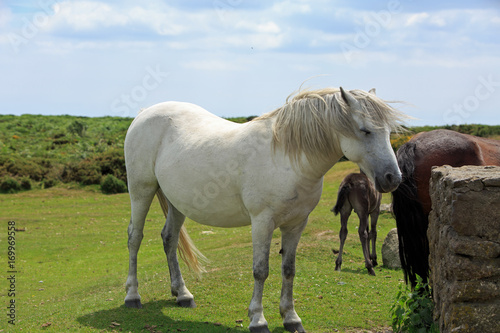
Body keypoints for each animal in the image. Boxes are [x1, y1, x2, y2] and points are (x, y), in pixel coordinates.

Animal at [123, 86, 404, 332]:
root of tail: (144, 113)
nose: (393, 178)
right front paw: (258, 320)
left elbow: (289, 270)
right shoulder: (262, 222)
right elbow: (261, 271)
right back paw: (132, 297)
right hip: (141, 191)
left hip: (176, 202)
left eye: (388, 131)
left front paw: (291, 318)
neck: (287, 156)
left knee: (169, 239)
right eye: (365, 130)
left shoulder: (296, 224)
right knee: (135, 238)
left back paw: (182, 294)